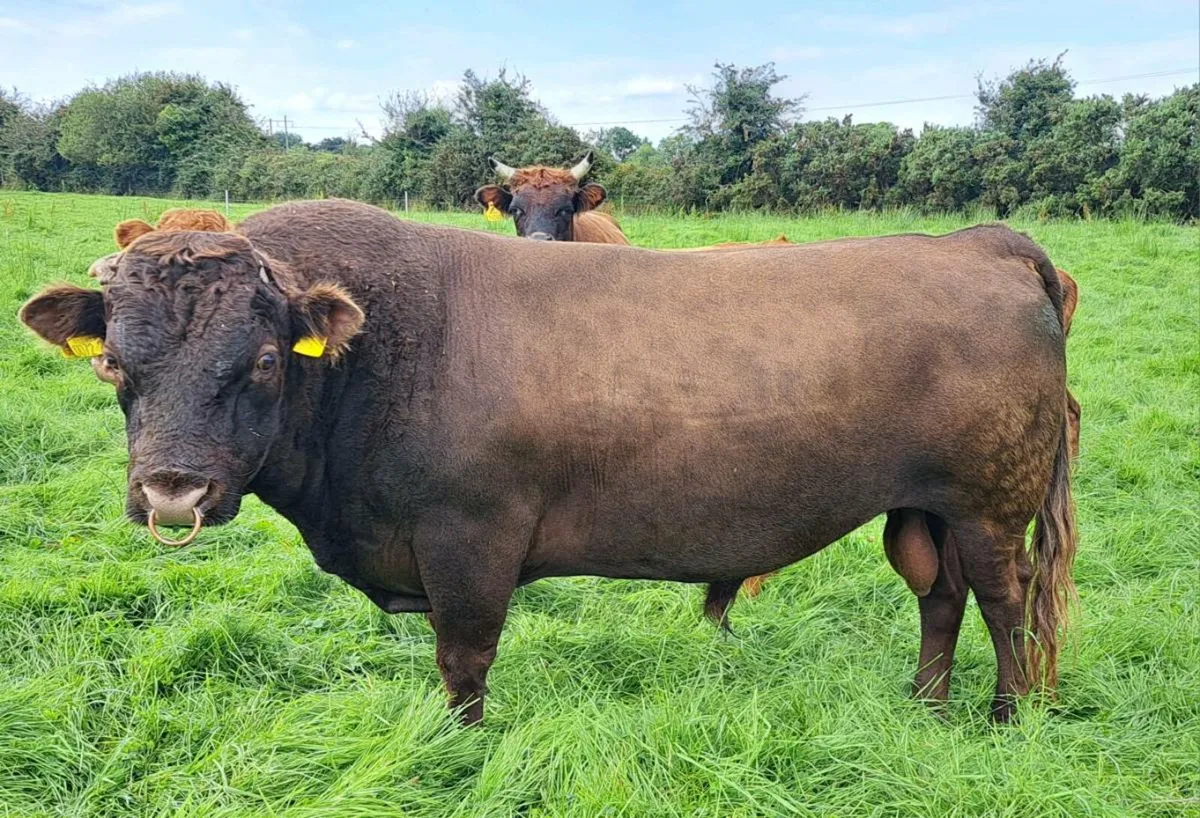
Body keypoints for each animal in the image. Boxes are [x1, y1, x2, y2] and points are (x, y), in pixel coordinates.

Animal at [20, 199, 1077, 725]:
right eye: (115, 362)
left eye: (268, 360)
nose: (173, 491)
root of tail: (981, 242)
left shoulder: (469, 540)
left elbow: (462, 661)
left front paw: (458, 750)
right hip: (923, 506)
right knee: (938, 595)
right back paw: (925, 704)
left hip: (990, 504)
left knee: (1004, 598)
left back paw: (1005, 716)